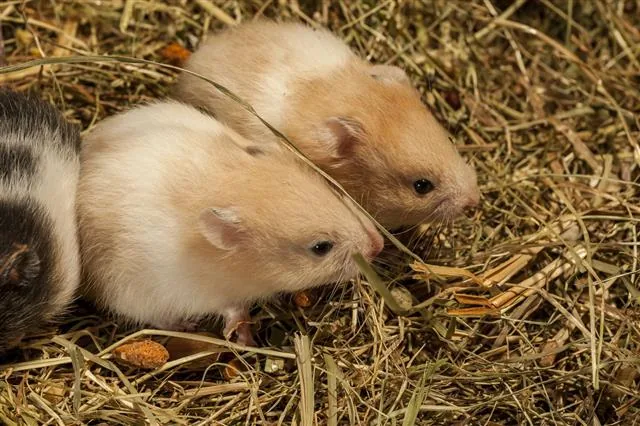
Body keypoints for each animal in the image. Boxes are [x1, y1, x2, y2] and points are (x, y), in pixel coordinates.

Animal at [77, 101, 384, 345]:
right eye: (321, 247)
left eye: (331, 190)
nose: (379, 244)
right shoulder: (213, 294)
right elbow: (234, 311)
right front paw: (245, 339)